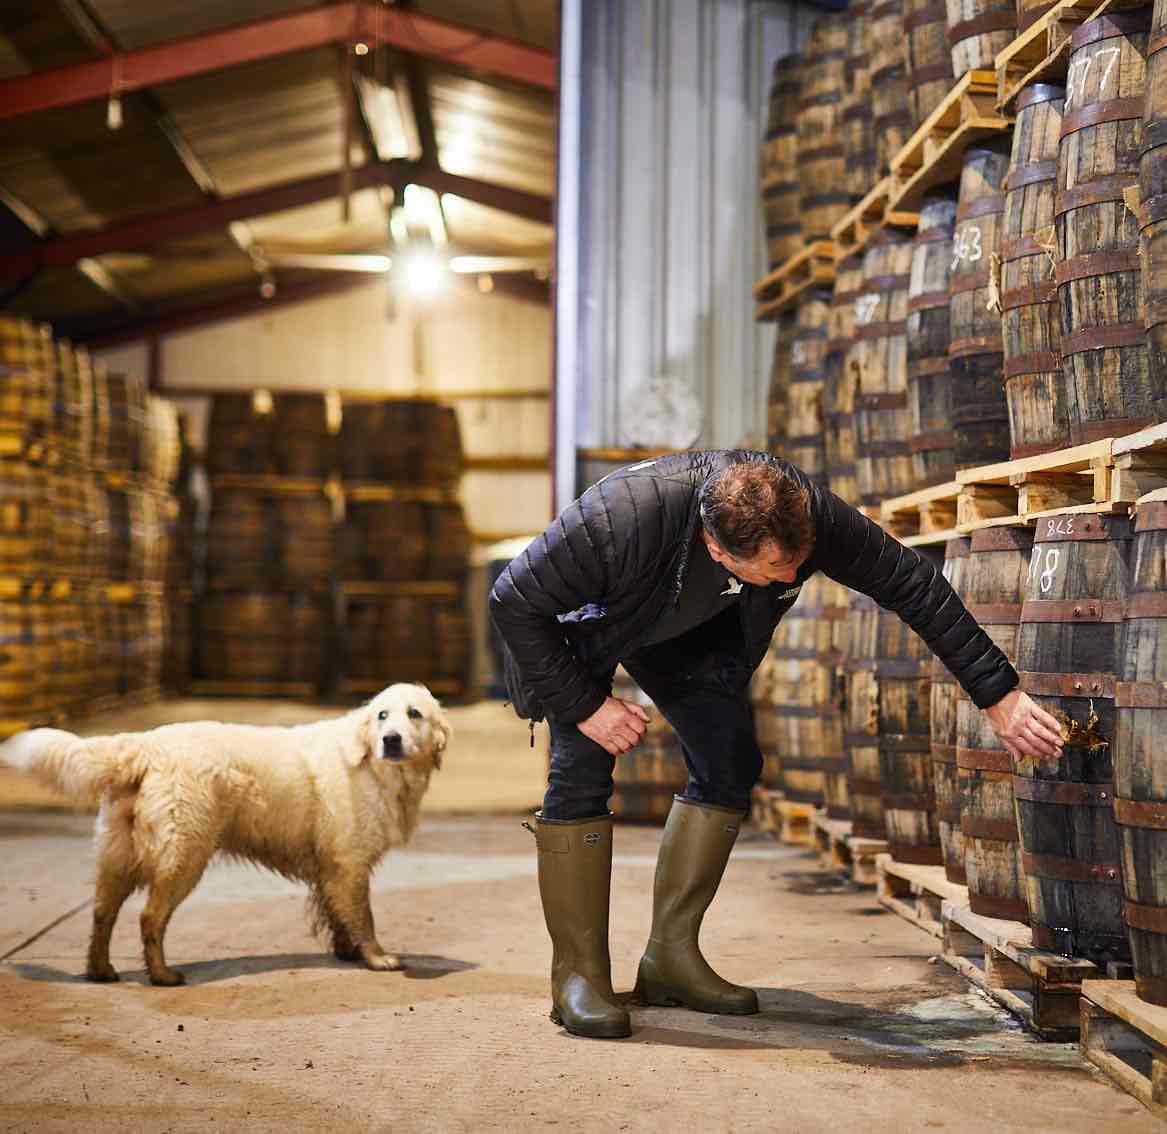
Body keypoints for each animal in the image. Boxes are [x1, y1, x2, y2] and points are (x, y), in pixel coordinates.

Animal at [0, 681, 448, 984]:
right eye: (382, 716)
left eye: (414, 714)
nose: (391, 740)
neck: (371, 763)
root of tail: (147, 744)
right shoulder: (350, 863)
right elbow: (363, 917)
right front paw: (378, 958)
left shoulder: (333, 869)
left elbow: (338, 915)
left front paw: (347, 952)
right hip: (184, 855)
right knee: (149, 918)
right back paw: (163, 976)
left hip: (118, 856)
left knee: (100, 913)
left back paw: (100, 971)